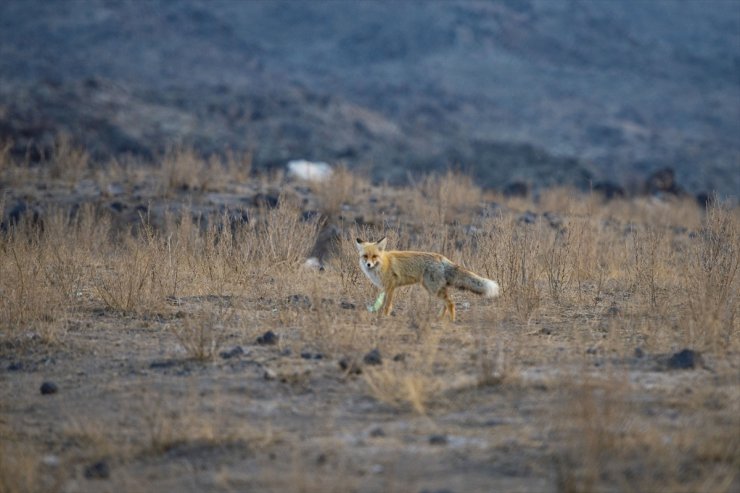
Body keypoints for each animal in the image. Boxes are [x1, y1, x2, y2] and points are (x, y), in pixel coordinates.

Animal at [356, 237, 500, 320]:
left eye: (374, 256)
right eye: (365, 256)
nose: (368, 265)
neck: (383, 263)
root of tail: (441, 257)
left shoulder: (391, 287)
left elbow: (387, 305)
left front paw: (384, 317)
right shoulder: (385, 288)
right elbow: (382, 303)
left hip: (433, 288)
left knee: (451, 303)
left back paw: (451, 321)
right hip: (435, 289)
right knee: (446, 303)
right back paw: (439, 319)